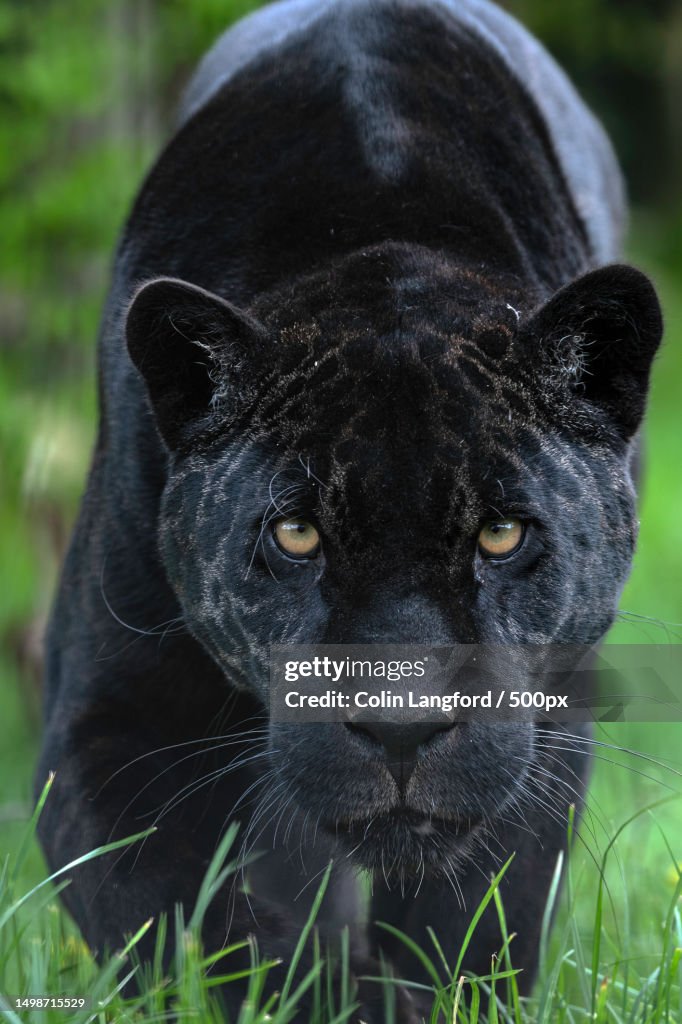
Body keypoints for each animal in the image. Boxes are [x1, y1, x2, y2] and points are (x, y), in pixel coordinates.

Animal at [36, 0, 663, 1018]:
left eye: (501, 533)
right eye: (296, 535)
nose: (400, 724)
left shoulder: (542, 729)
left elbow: (472, 929)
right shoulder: (113, 720)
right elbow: (194, 927)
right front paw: (321, 990)